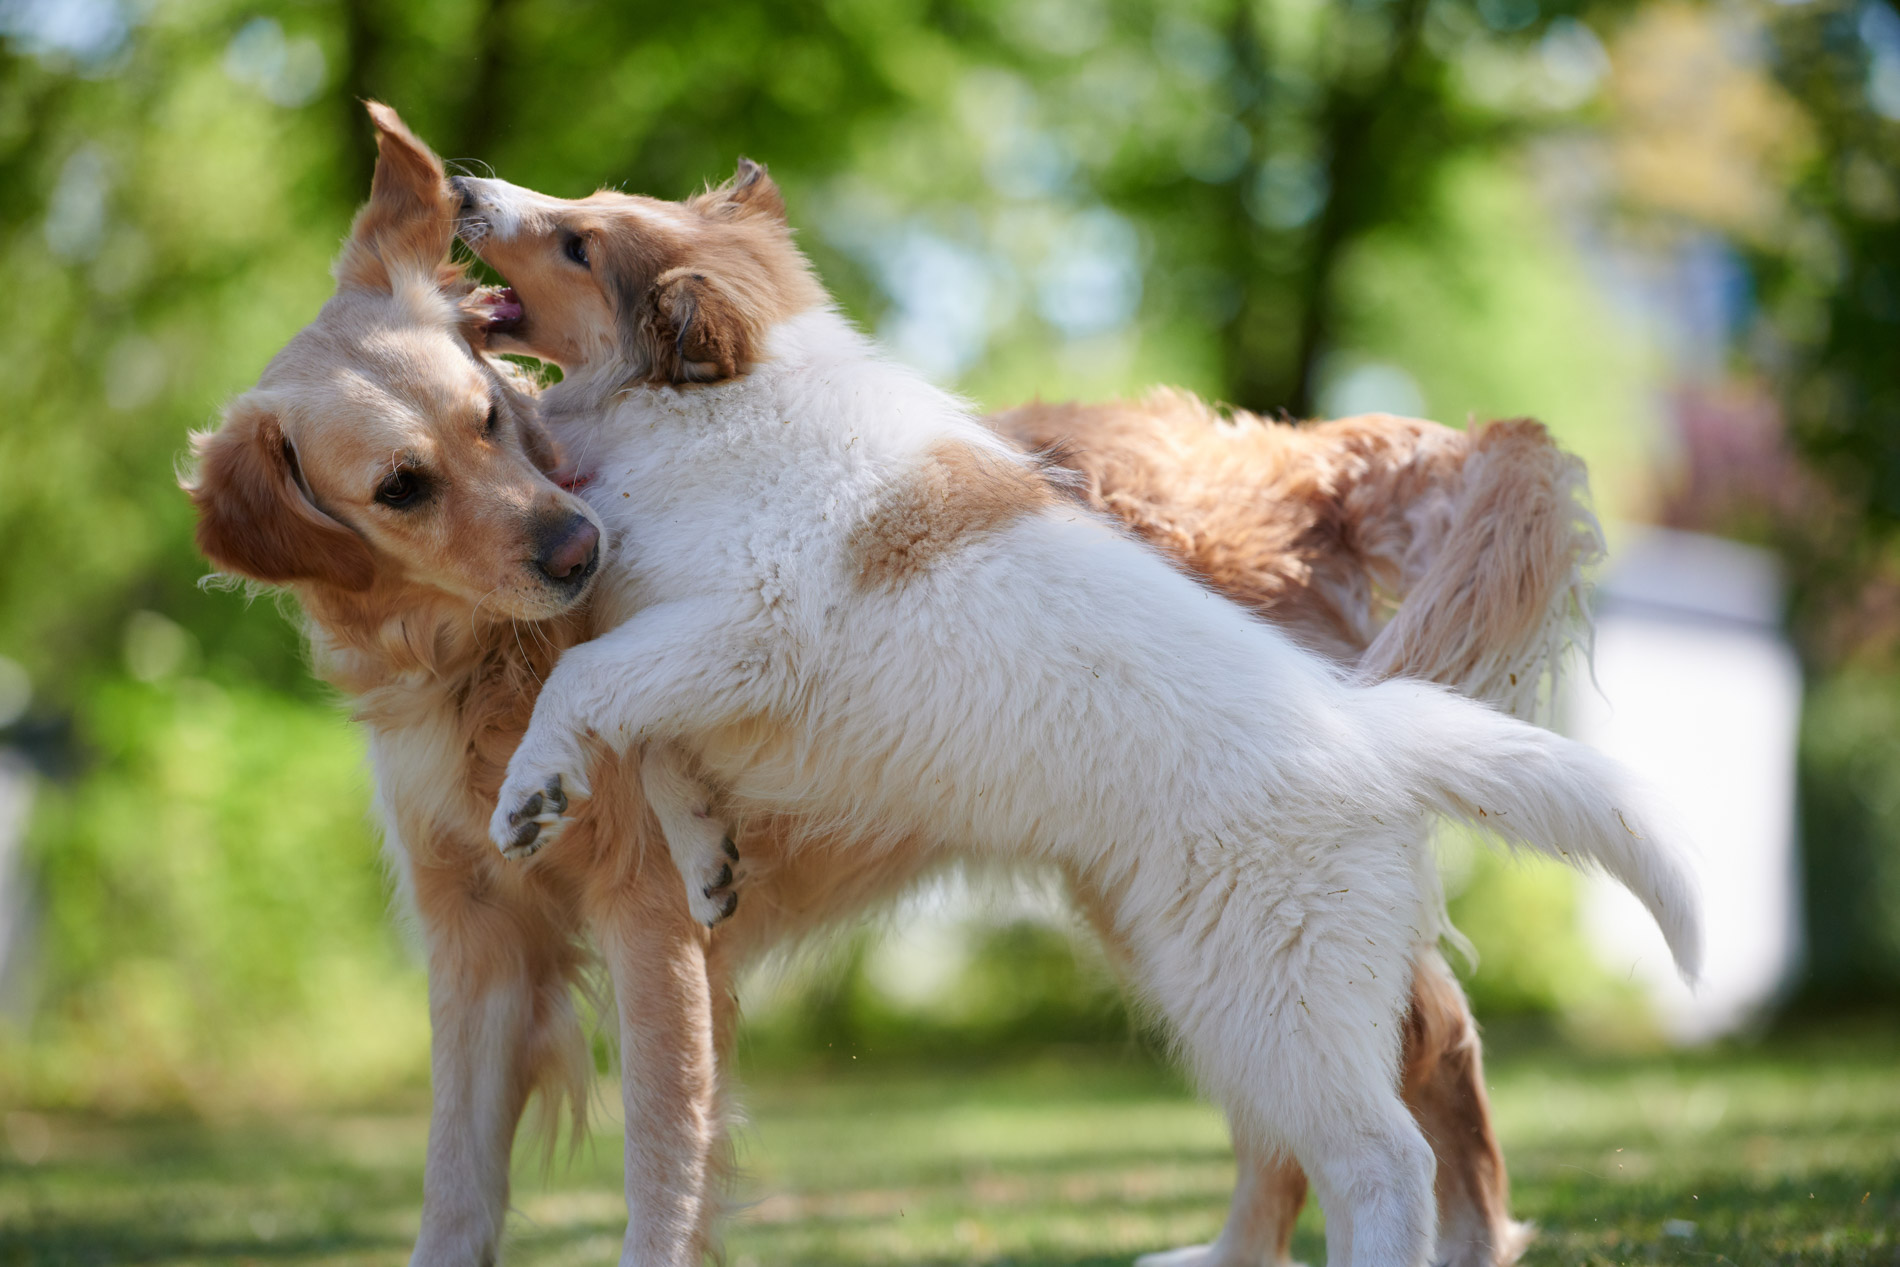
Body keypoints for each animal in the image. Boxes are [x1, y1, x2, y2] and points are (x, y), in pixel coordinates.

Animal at [456, 166, 1694, 1267]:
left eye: (577, 242)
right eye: (582, 209)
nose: (464, 190)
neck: (709, 409)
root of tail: (1376, 734)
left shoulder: (743, 631)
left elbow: (586, 684)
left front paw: (529, 796)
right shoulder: (698, 662)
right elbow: (654, 740)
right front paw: (705, 858)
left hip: (1267, 985)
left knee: (1383, 1156)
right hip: (1222, 976)